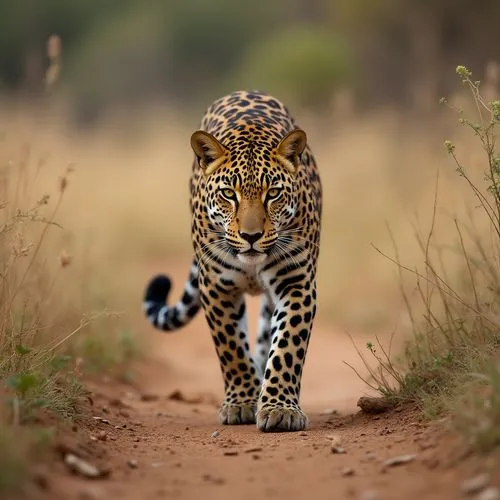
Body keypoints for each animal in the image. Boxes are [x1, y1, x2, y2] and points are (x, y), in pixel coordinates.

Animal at [143, 89, 322, 430]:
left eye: (273, 193)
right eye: (229, 193)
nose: (251, 235)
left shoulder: (296, 282)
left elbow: (287, 345)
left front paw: (279, 408)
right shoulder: (215, 285)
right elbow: (231, 348)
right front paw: (242, 403)